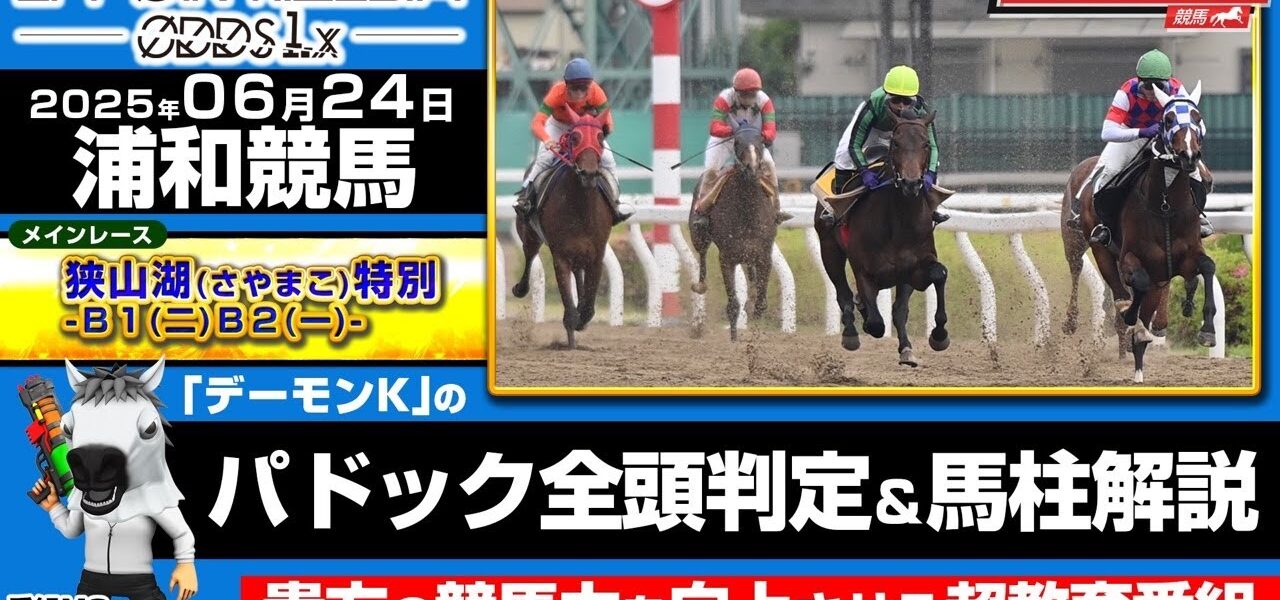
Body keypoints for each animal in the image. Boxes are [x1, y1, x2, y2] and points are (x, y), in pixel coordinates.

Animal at [511, 110, 615, 349]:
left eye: (600, 137)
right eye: (574, 137)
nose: (588, 173)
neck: (581, 205)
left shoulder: (597, 253)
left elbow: (589, 301)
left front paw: (582, 319)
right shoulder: (560, 255)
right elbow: (568, 299)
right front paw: (572, 326)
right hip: (530, 235)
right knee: (529, 256)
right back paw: (520, 288)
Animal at [688, 125, 779, 341]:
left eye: (761, 140)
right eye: (737, 142)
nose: (751, 168)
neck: (747, 213)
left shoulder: (764, 255)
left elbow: (761, 303)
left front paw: (755, 324)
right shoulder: (727, 258)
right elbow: (733, 305)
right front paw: (734, 337)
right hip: (699, 235)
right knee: (702, 254)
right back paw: (700, 285)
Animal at [814, 110, 953, 367]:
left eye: (926, 144)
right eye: (896, 143)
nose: (911, 183)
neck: (899, 222)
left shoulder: (915, 267)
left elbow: (938, 274)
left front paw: (939, 336)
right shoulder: (863, 270)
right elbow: (876, 323)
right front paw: (864, 318)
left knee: (897, 309)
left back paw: (906, 348)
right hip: (829, 249)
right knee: (843, 294)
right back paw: (851, 332)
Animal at [1061, 82, 1216, 383]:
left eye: (1198, 117)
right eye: (1167, 120)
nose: (1189, 156)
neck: (1165, 205)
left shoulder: (1182, 257)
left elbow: (1207, 267)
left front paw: (1207, 329)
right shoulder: (1131, 257)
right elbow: (1137, 290)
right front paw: (1131, 320)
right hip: (1084, 243)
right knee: (1084, 273)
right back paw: (1079, 321)